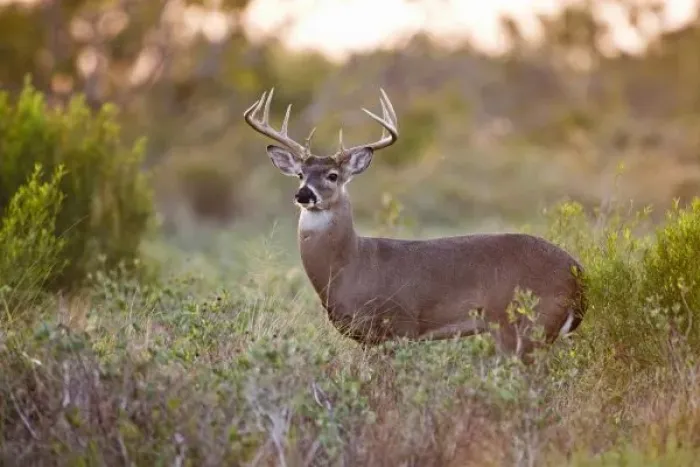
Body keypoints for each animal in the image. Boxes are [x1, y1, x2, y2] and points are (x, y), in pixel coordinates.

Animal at [243, 88, 587, 362]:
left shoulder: (399, 326)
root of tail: (578, 274)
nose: (303, 195)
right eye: (301, 174)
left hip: (524, 324)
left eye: (332, 175)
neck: (352, 265)